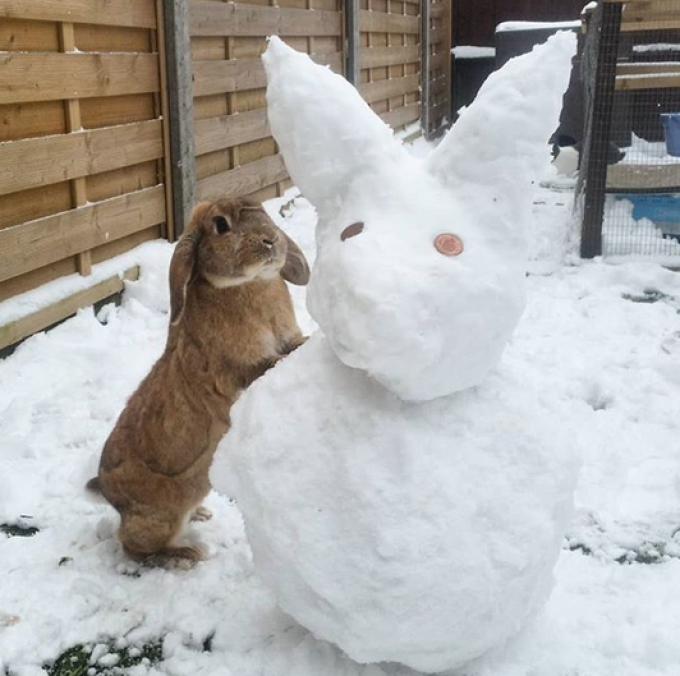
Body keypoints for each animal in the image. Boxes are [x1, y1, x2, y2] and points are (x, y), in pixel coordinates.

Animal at [89, 198, 310, 568]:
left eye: (263, 212)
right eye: (220, 225)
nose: (271, 240)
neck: (246, 284)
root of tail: (106, 490)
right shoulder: (233, 374)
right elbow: (266, 365)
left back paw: (201, 515)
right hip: (163, 515)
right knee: (132, 546)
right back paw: (183, 555)